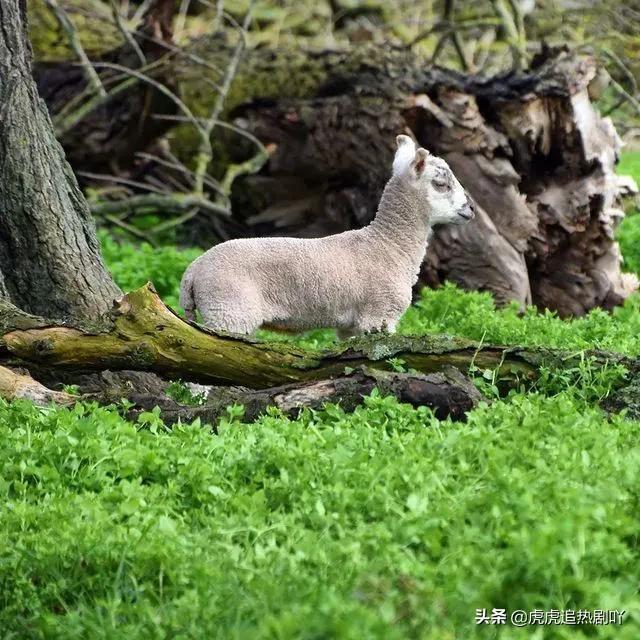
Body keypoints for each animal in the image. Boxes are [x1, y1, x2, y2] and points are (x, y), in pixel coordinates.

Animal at [180, 136, 476, 340]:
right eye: (441, 184)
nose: (471, 208)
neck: (388, 245)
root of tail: (192, 271)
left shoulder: (352, 327)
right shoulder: (379, 315)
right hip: (229, 311)